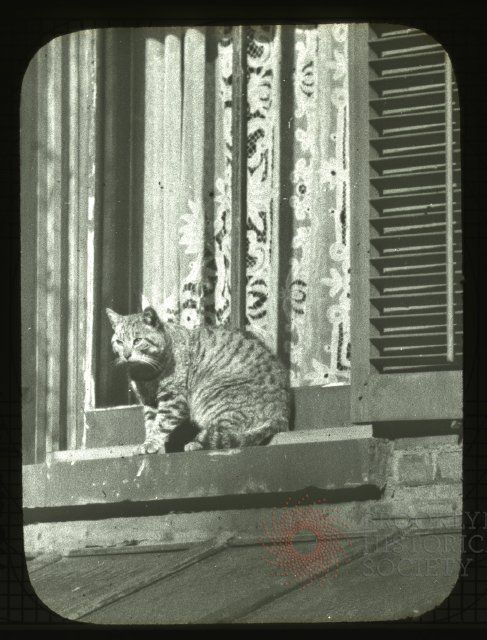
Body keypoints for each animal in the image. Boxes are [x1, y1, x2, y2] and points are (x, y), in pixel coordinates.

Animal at [107, 306, 290, 452]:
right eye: (119, 342)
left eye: (137, 340)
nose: (126, 355)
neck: (144, 374)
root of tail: (282, 413)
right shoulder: (149, 402)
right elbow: (151, 424)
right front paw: (154, 444)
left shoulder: (174, 400)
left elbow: (161, 424)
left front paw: (150, 444)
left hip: (215, 397)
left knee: (225, 433)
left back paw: (196, 443)